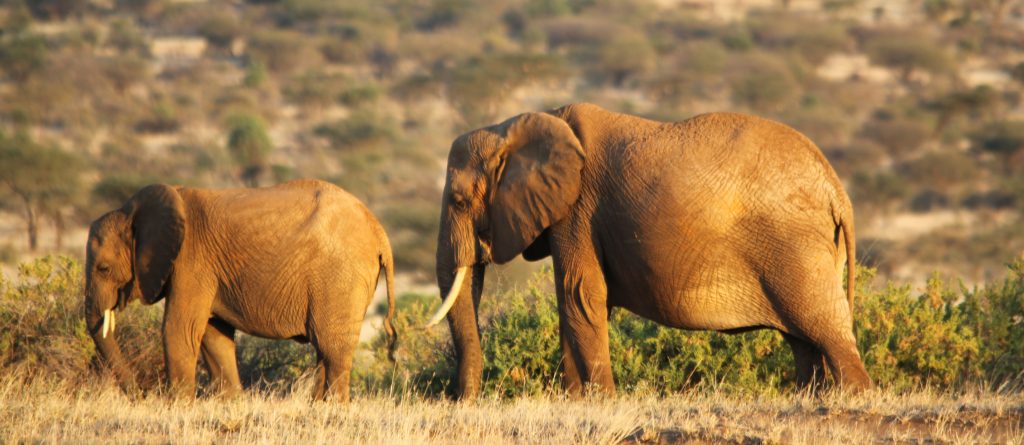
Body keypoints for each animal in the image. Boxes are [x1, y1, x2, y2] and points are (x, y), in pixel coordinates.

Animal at [86, 179, 395, 403]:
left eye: (103, 268)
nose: (140, 394)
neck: (132, 212)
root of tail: (379, 230)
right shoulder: (208, 270)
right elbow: (214, 335)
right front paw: (231, 403)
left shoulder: (191, 261)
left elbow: (179, 329)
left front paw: (178, 407)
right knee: (325, 350)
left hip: (340, 277)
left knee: (333, 350)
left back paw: (333, 408)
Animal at [432, 102, 872, 398]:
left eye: (458, 200)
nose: (465, 402)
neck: (513, 126)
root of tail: (836, 188)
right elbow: (575, 302)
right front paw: (575, 401)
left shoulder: (578, 210)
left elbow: (579, 293)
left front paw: (600, 402)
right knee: (803, 338)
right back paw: (807, 397)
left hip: (794, 246)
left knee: (821, 325)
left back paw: (852, 397)